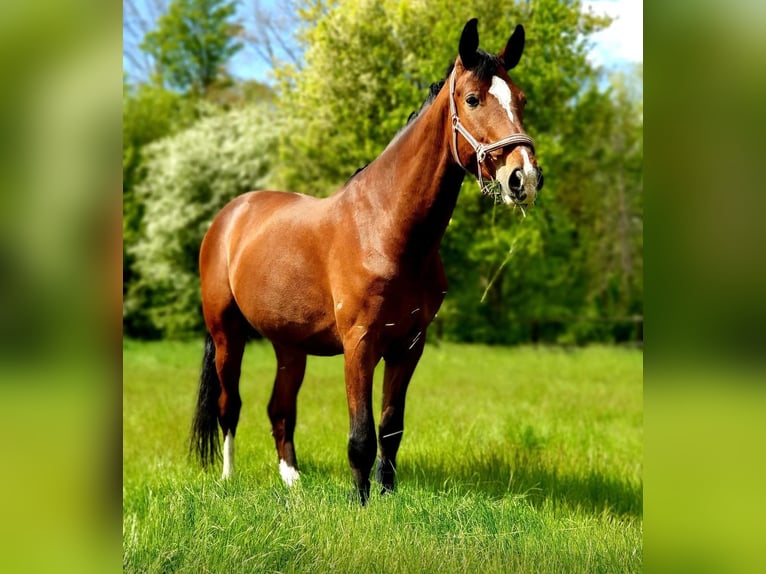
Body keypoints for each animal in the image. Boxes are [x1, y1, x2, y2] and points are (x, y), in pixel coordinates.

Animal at [191, 18, 544, 504]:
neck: (386, 228)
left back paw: (293, 481)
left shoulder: (409, 346)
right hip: (228, 335)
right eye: (472, 98)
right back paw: (228, 479)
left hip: (289, 346)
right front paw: (360, 504)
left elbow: (390, 427)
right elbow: (360, 434)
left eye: (521, 99)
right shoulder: (359, 344)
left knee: (279, 409)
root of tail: (230, 215)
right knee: (231, 406)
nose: (523, 177)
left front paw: (388, 496)